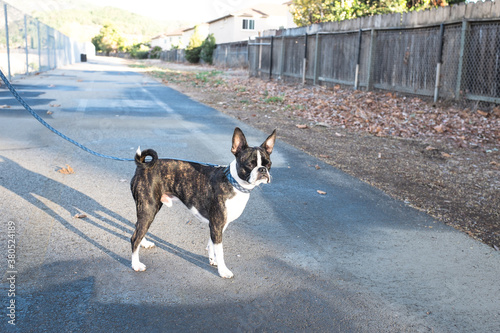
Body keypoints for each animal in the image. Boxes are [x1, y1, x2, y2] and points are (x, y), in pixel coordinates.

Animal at [131, 127, 276, 278]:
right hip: (149, 208)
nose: (262, 170)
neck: (233, 182)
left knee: (138, 227)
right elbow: (220, 250)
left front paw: (213, 260)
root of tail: (143, 166)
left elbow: (211, 244)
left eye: (268, 164)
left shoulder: (218, 225)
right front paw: (223, 270)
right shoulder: (217, 224)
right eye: (249, 164)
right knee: (135, 237)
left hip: (147, 210)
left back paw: (144, 243)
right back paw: (136, 264)